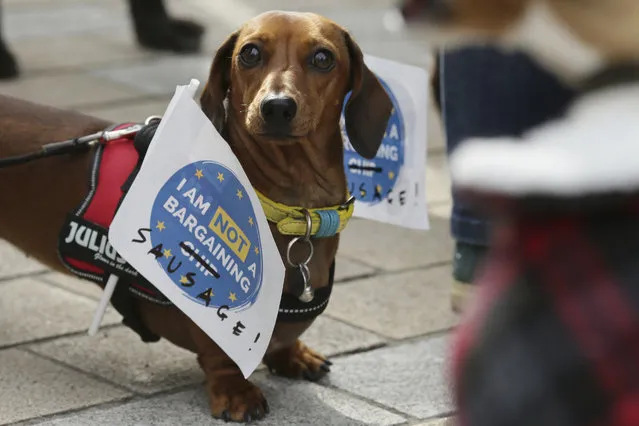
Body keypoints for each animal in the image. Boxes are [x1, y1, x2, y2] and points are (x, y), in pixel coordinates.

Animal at [0, 10, 392, 422]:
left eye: (322, 58)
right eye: (250, 53)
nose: (276, 107)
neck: (293, 206)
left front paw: (293, 354)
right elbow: (220, 354)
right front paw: (236, 392)